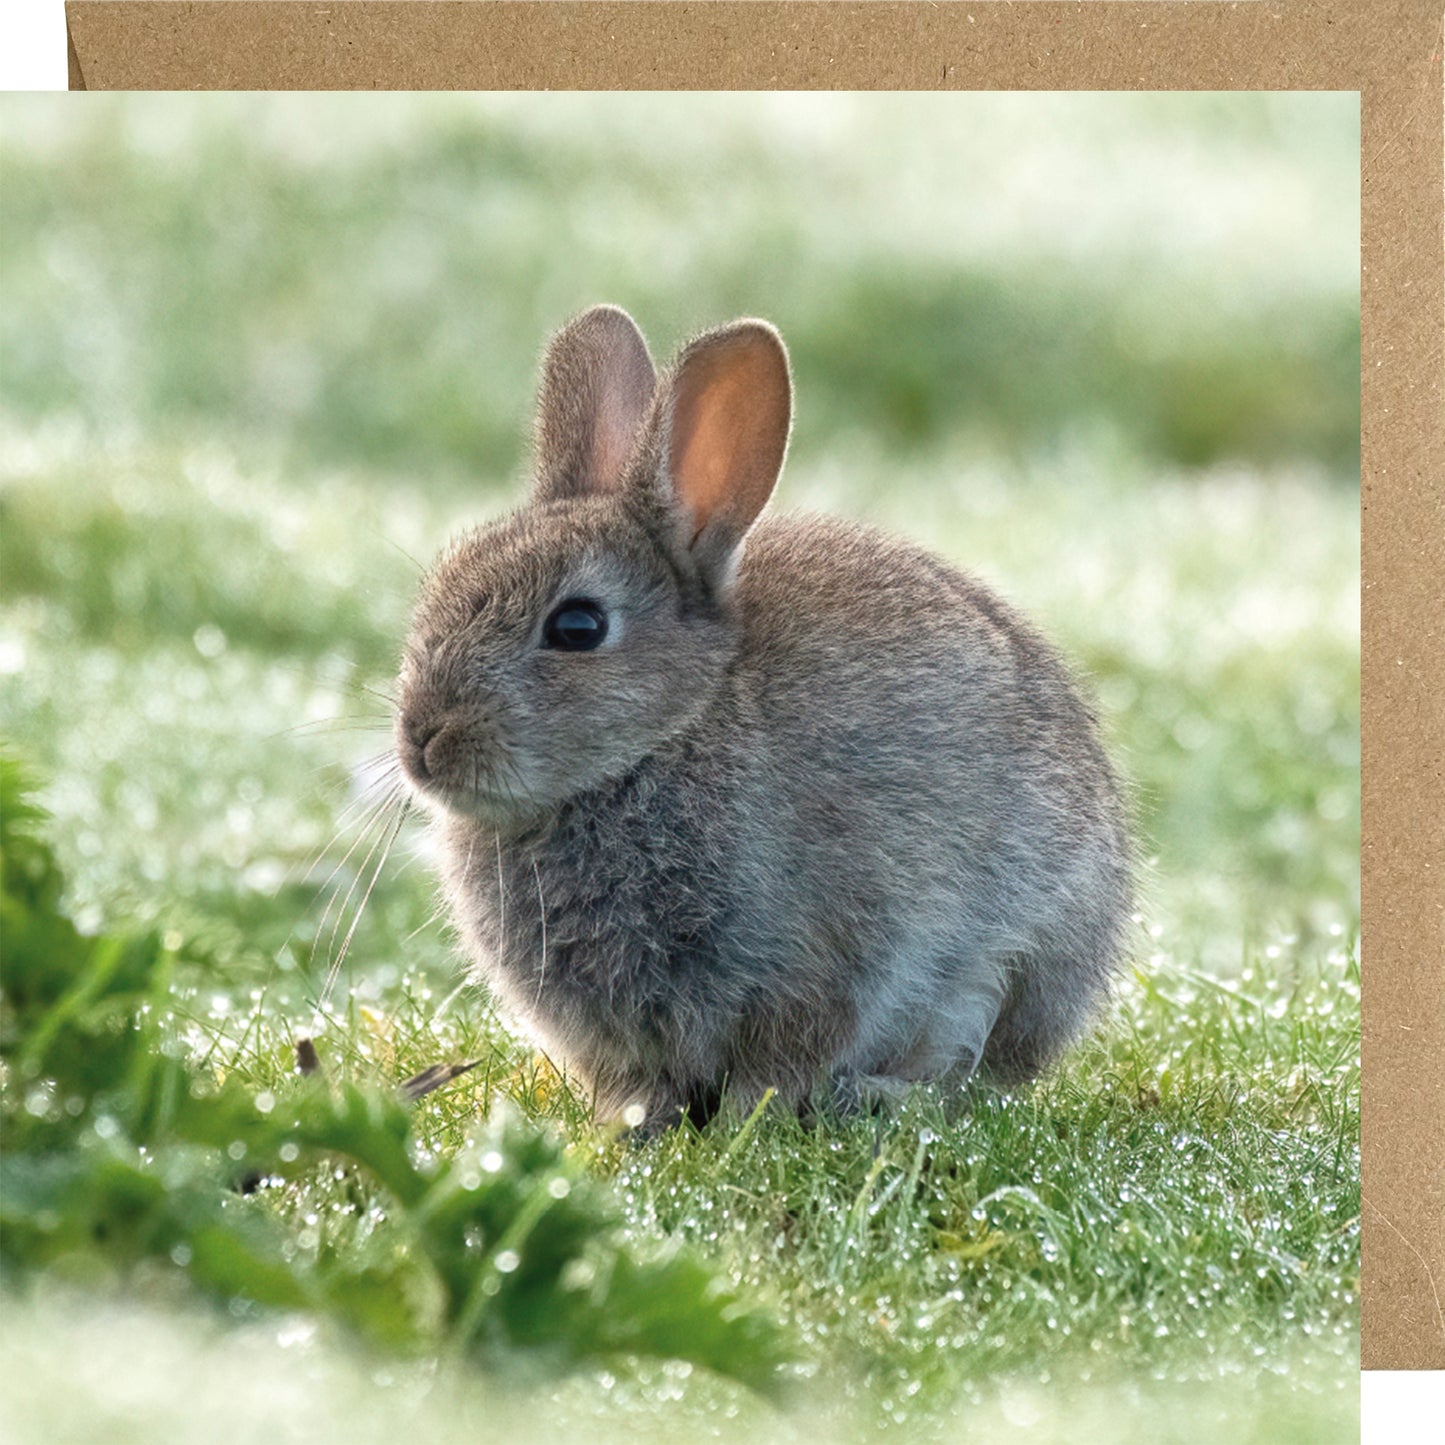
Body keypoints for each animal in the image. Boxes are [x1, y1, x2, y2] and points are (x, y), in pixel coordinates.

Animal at [394, 304, 1133, 1134]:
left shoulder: (829, 954)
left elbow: (784, 1058)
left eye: (577, 627)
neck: (659, 744)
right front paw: (626, 1127)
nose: (421, 740)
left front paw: (745, 1125)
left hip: (1014, 964)